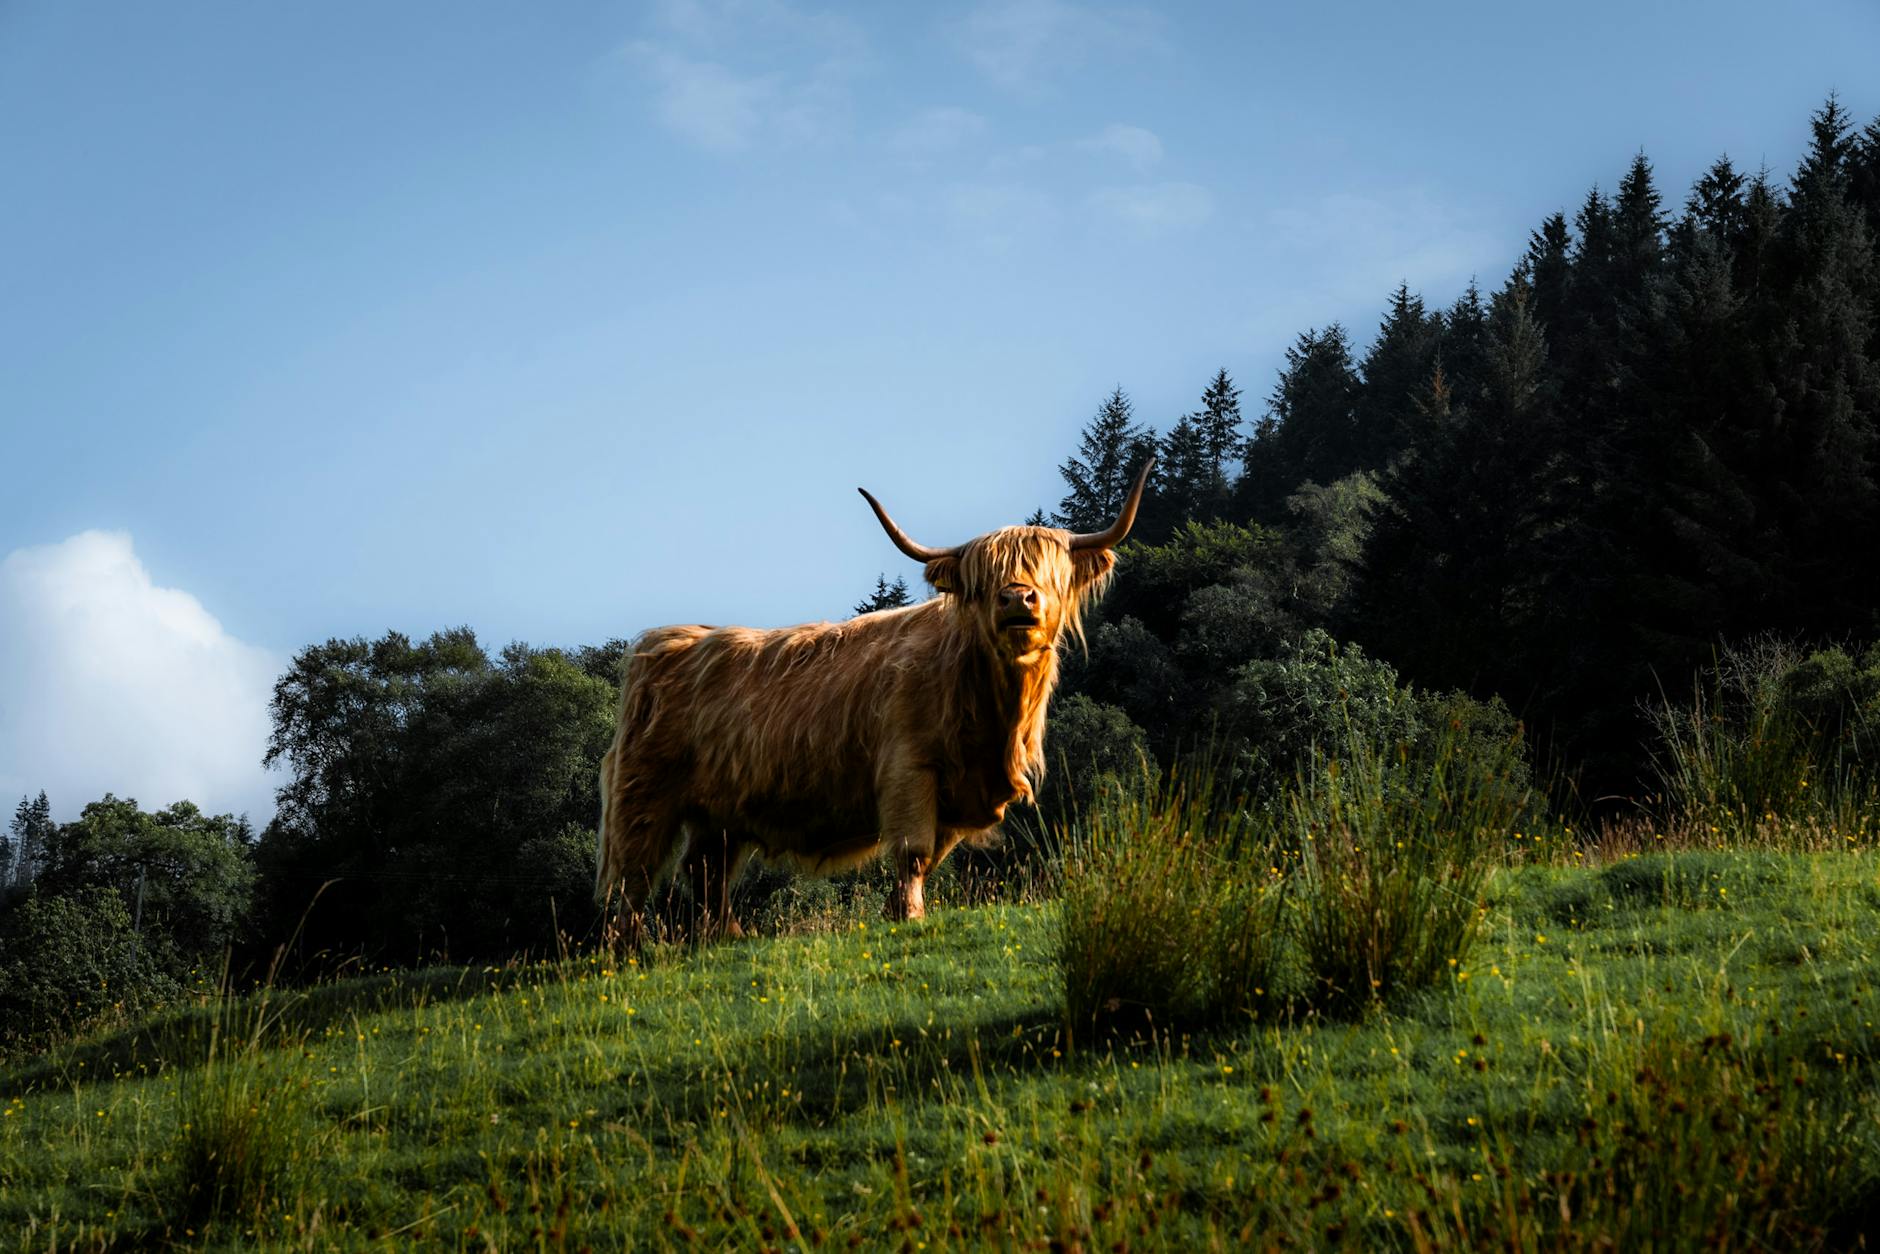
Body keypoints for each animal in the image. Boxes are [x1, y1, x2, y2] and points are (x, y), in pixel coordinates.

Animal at [594, 461, 1153, 945]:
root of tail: (667, 643)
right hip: (644, 794)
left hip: (719, 811)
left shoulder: (956, 792)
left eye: (1049, 572)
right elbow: (912, 850)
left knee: (707, 869)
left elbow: (930, 856)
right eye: (983, 580)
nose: (1017, 598)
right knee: (634, 874)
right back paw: (626, 949)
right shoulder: (909, 768)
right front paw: (909, 915)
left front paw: (897, 909)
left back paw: (726, 937)